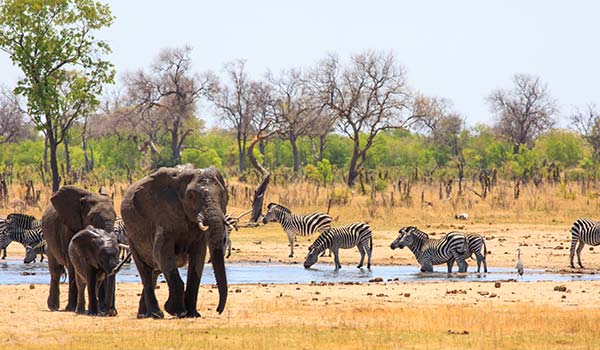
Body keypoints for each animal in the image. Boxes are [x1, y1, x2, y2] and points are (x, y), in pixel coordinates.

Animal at [120, 165, 229, 318]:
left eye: (223, 195)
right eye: (191, 196)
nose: (218, 310)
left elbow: (198, 258)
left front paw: (193, 314)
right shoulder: (163, 217)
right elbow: (162, 252)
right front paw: (177, 311)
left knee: (155, 271)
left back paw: (144, 314)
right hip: (131, 236)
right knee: (145, 272)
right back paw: (155, 314)